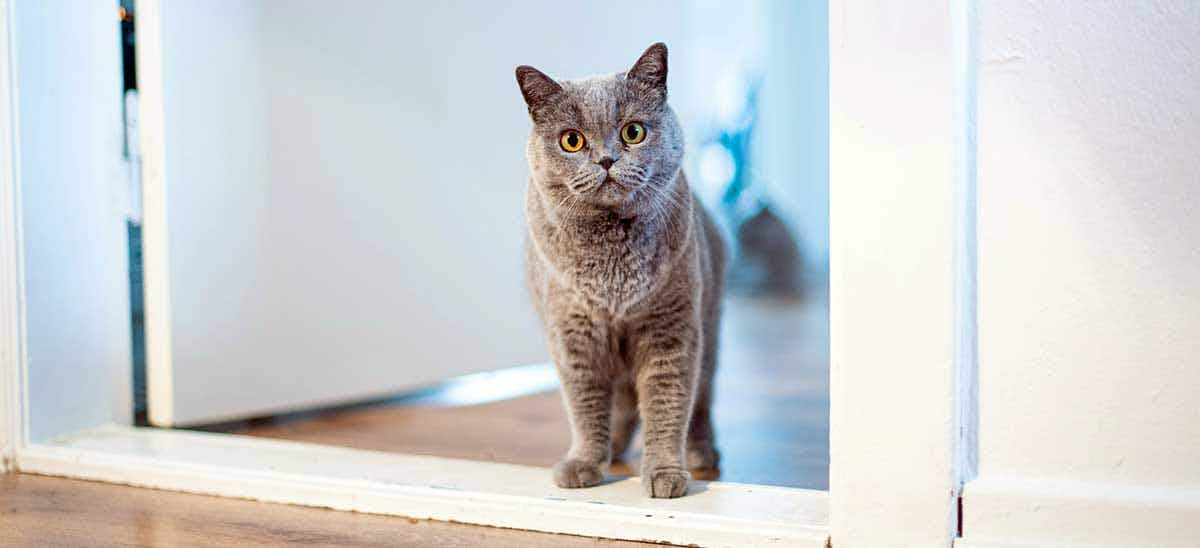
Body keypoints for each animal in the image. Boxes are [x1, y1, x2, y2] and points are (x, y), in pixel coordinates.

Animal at [513, 43, 720, 496]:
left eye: (633, 132)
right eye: (571, 140)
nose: (606, 160)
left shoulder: (671, 331)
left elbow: (667, 404)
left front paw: (664, 473)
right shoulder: (574, 336)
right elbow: (586, 406)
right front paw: (584, 463)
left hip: (710, 328)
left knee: (701, 401)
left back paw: (700, 453)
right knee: (622, 404)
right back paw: (617, 446)